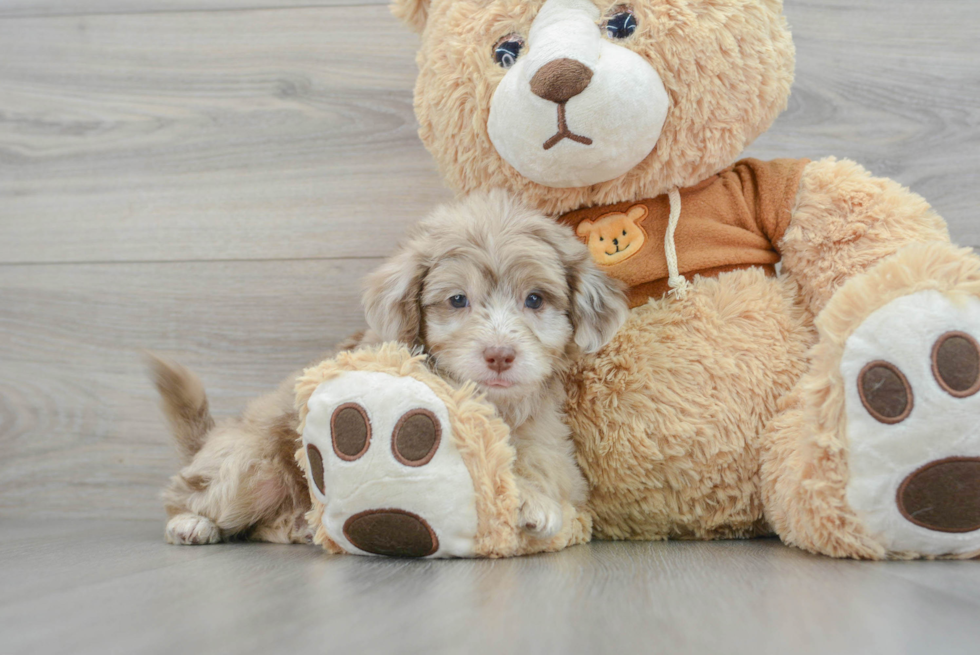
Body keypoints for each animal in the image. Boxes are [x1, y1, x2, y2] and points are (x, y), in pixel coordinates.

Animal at [153, 191, 628, 548]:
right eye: (457, 300)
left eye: (535, 300)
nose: (499, 355)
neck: (493, 402)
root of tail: (211, 438)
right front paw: (523, 498)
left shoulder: (547, 436)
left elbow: (541, 464)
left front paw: (536, 497)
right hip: (252, 465)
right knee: (190, 495)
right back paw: (192, 523)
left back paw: (299, 525)